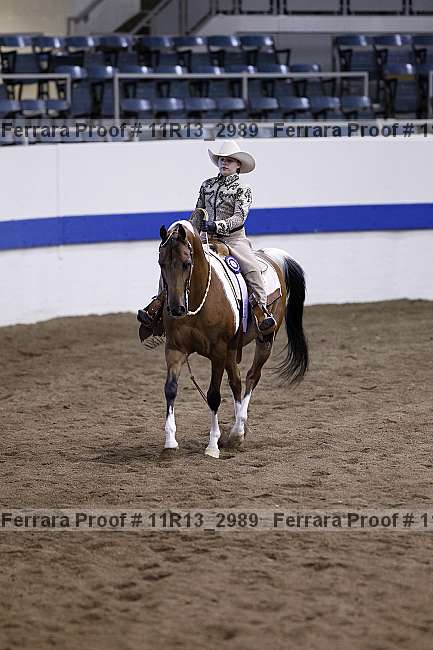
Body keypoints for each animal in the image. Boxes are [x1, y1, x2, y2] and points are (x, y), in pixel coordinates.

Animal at [152, 219, 308, 459]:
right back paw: (238, 432)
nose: (176, 308)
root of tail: (271, 257)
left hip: (265, 341)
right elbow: (170, 389)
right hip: (232, 349)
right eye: (161, 264)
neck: (198, 299)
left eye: (186, 263)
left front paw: (212, 446)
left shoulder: (217, 351)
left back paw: (237, 431)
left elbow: (214, 395)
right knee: (236, 381)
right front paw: (170, 441)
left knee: (252, 377)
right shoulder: (175, 349)